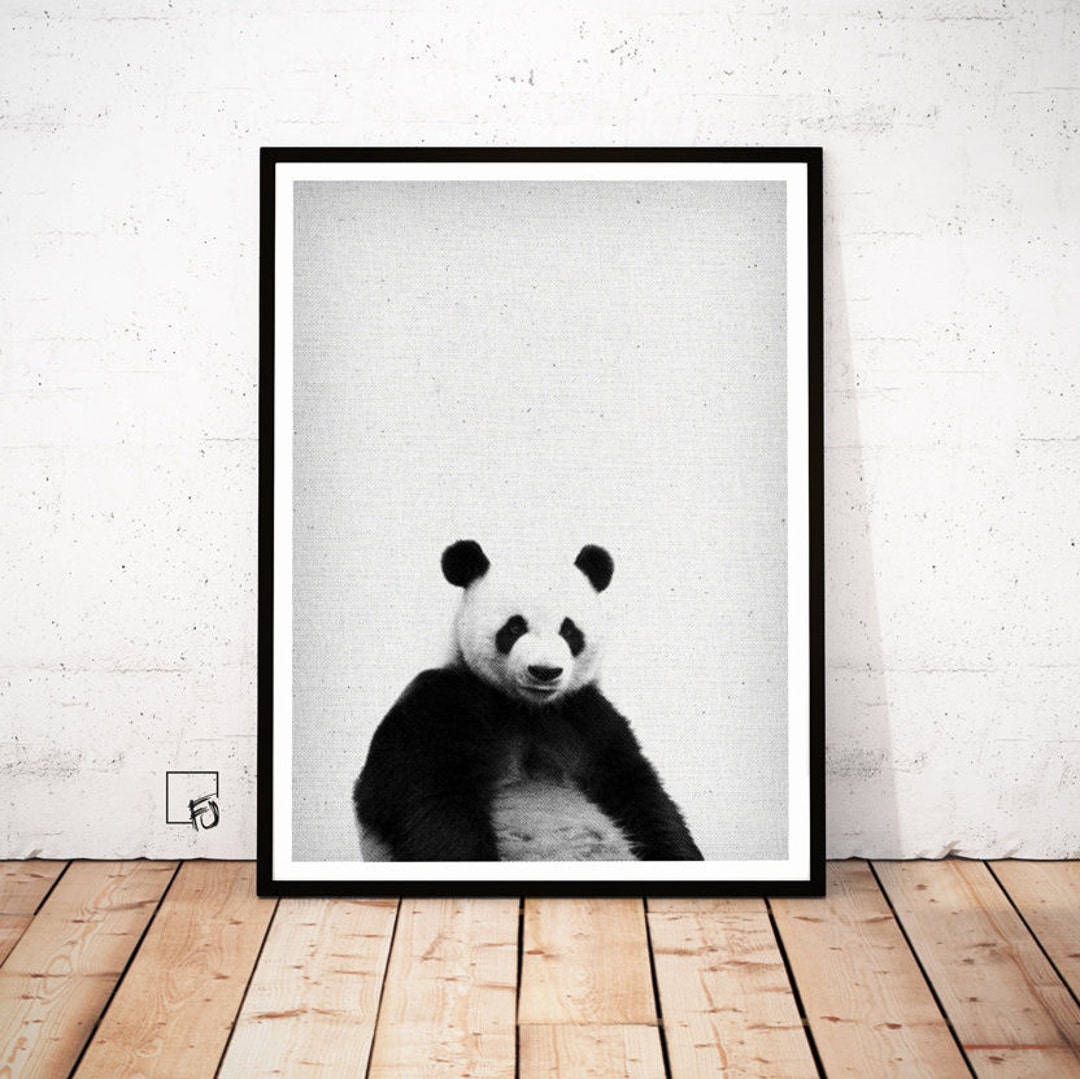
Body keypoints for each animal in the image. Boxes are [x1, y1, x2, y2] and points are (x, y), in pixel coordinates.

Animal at [352, 540, 703, 862]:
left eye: (569, 630)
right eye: (515, 626)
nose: (544, 671)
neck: (527, 709)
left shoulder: (585, 717)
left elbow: (636, 788)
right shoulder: (442, 702)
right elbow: (431, 794)